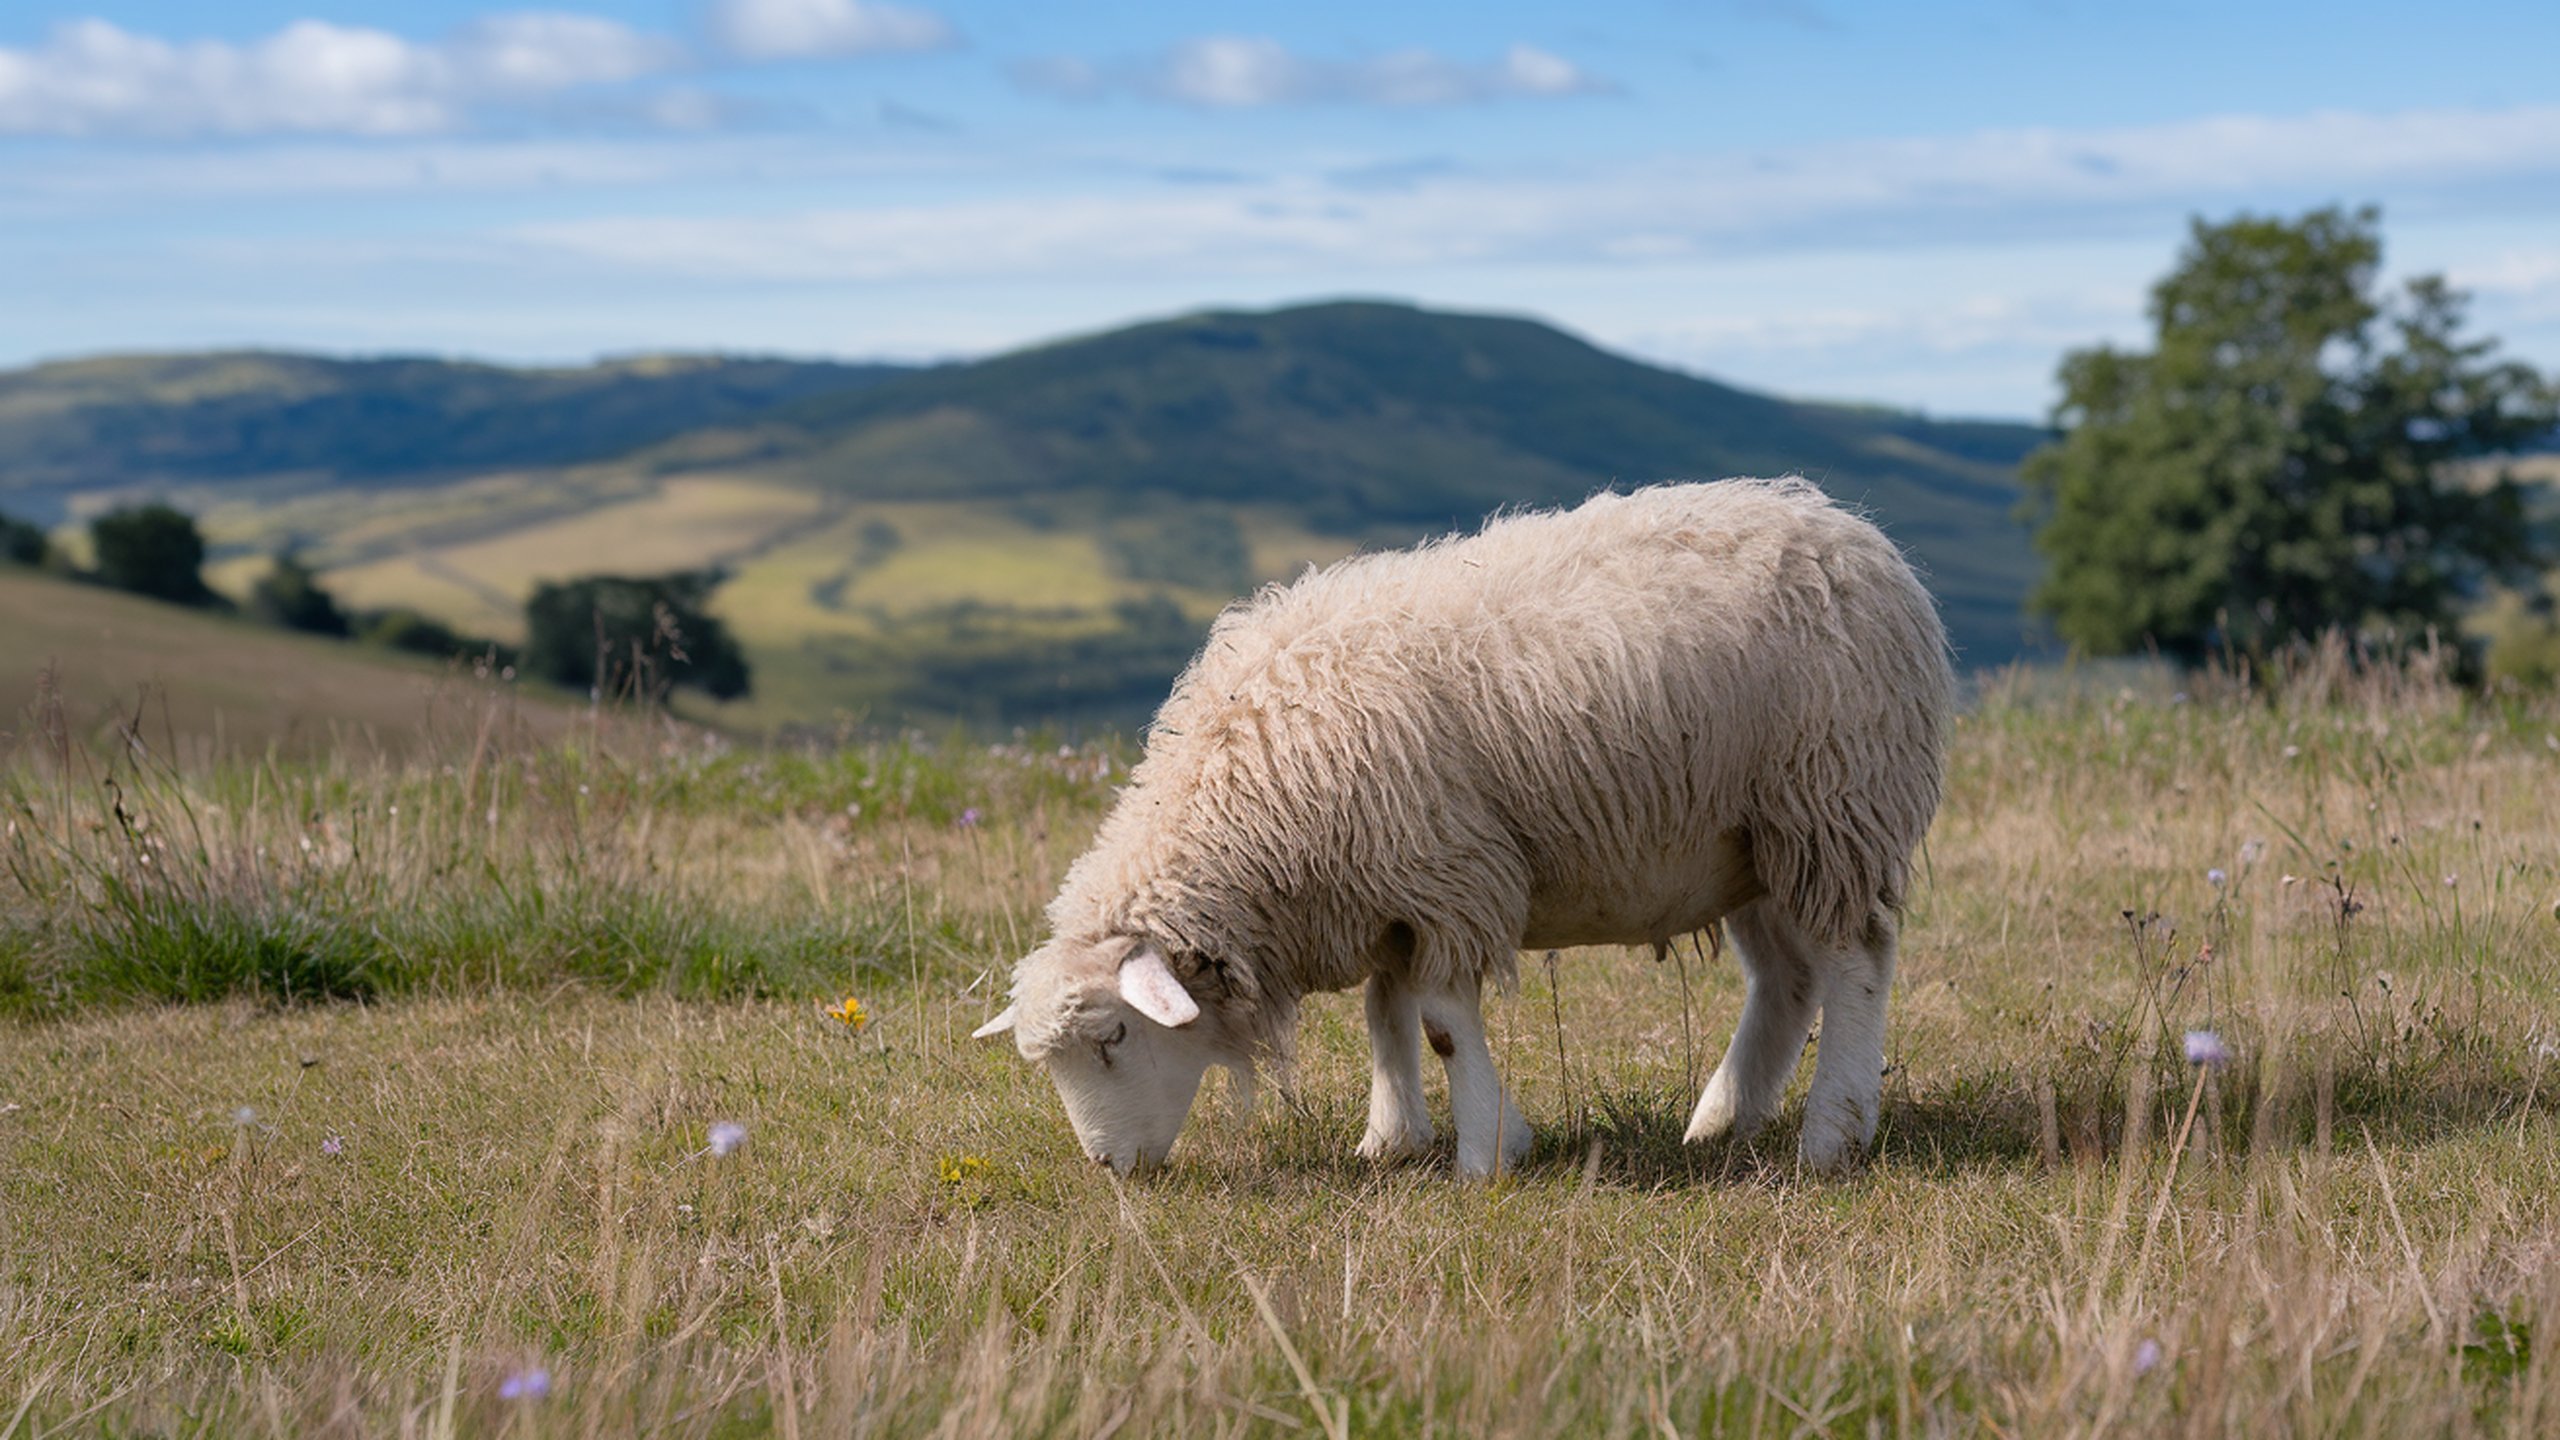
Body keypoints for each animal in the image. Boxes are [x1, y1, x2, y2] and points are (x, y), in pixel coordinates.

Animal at [967, 476, 1945, 1173]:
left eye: (1114, 1037)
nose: (1108, 1168)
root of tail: (1856, 534)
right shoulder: (1382, 890)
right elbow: (1385, 1014)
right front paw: (1392, 1139)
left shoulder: (1448, 874)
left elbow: (1439, 1023)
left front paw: (1487, 1152)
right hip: (1747, 845)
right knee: (1787, 980)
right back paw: (1721, 1122)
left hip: (1830, 799)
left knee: (1856, 960)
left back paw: (1833, 1133)